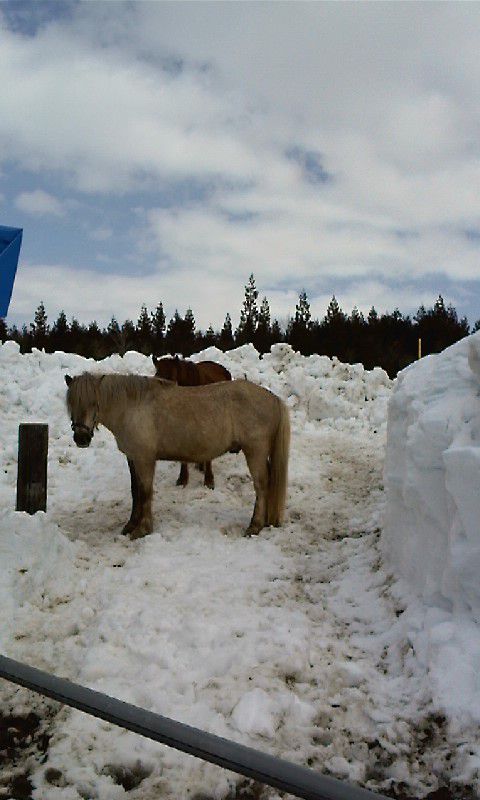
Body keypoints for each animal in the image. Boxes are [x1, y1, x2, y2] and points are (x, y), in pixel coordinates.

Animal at [63, 374, 288, 536]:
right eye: (71, 404)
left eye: (94, 403)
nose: (81, 438)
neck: (132, 407)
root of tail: (273, 398)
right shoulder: (132, 458)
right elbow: (135, 491)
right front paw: (130, 525)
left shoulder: (144, 459)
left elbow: (145, 491)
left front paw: (143, 529)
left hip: (255, 451)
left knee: (261, 485)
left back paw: (255, 526)